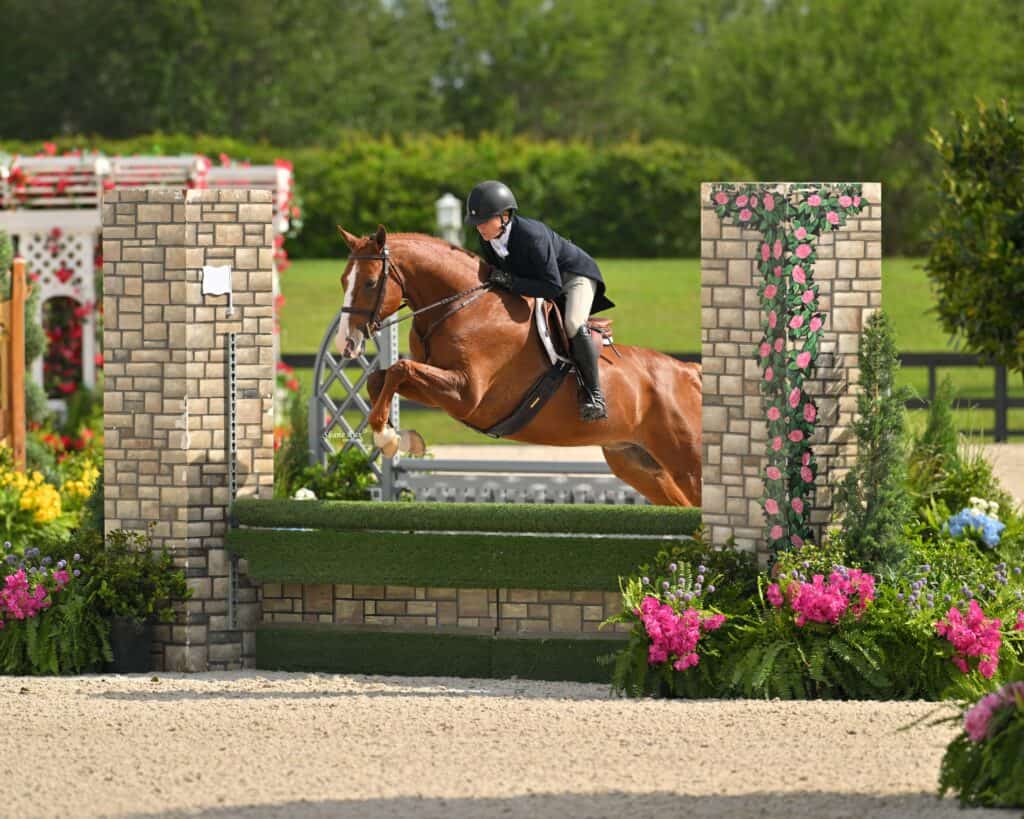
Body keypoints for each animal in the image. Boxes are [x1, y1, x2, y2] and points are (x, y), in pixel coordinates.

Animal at [335, 225, 702, 507]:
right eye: (342, 281)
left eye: (370, 283)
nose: (346, 343)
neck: (460, 307)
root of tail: (690, 373)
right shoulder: (441, 390)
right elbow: (381, 378)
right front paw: (396, 437)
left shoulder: (466, 394)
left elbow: (400, 370)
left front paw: (387, 436)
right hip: (638, 464)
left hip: (688, 463)